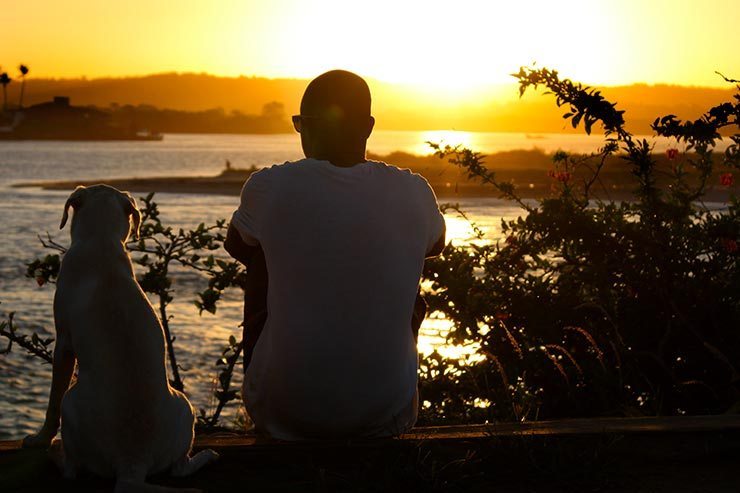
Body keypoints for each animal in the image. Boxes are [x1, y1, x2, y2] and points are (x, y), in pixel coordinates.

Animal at [23, 185, 218, 492]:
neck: (100, 241)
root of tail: (132, 463)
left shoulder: (63, 343)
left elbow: (52, 402)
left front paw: (39, 438)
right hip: (184, 408)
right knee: (179, 468)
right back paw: (207, 456)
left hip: (72, 404)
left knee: (71, 468)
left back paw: (55, 451)